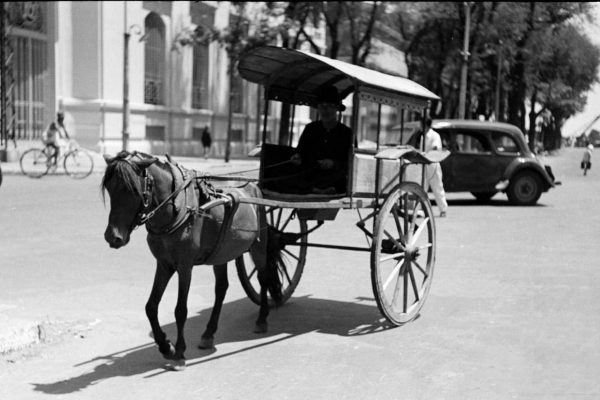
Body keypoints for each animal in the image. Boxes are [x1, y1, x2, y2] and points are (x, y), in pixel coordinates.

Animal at [101, 152, 284, 370]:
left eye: (132, 190)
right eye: (109, 188)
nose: (112, 237)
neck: (177, 209)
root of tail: (253, 185)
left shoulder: (185, 266)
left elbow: (180, 310)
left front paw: (179, 352)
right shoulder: (164, 264)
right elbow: (151, 306)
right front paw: (166, 346)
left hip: (258, 244)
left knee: (263, 277)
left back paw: (262, 319)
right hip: (221, 252)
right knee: (221, 288)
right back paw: (208, 334)